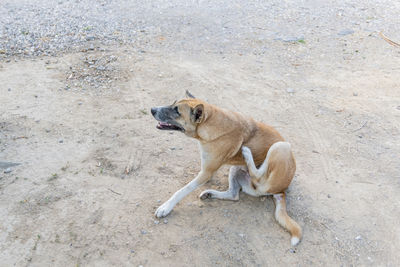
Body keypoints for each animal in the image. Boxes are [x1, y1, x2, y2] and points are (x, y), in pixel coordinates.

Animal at [152, 91, 302, 246]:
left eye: (177, 111)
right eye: (173, 103)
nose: (152, 110)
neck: (210, 122)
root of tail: (281, 191)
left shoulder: (206, 172)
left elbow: (182, 191)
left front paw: (166, 207)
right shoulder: (207, 169)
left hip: (281, 146)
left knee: (258, 177)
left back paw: (247, 153)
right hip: (236, 170)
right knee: (234, 194)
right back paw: (210, 193)